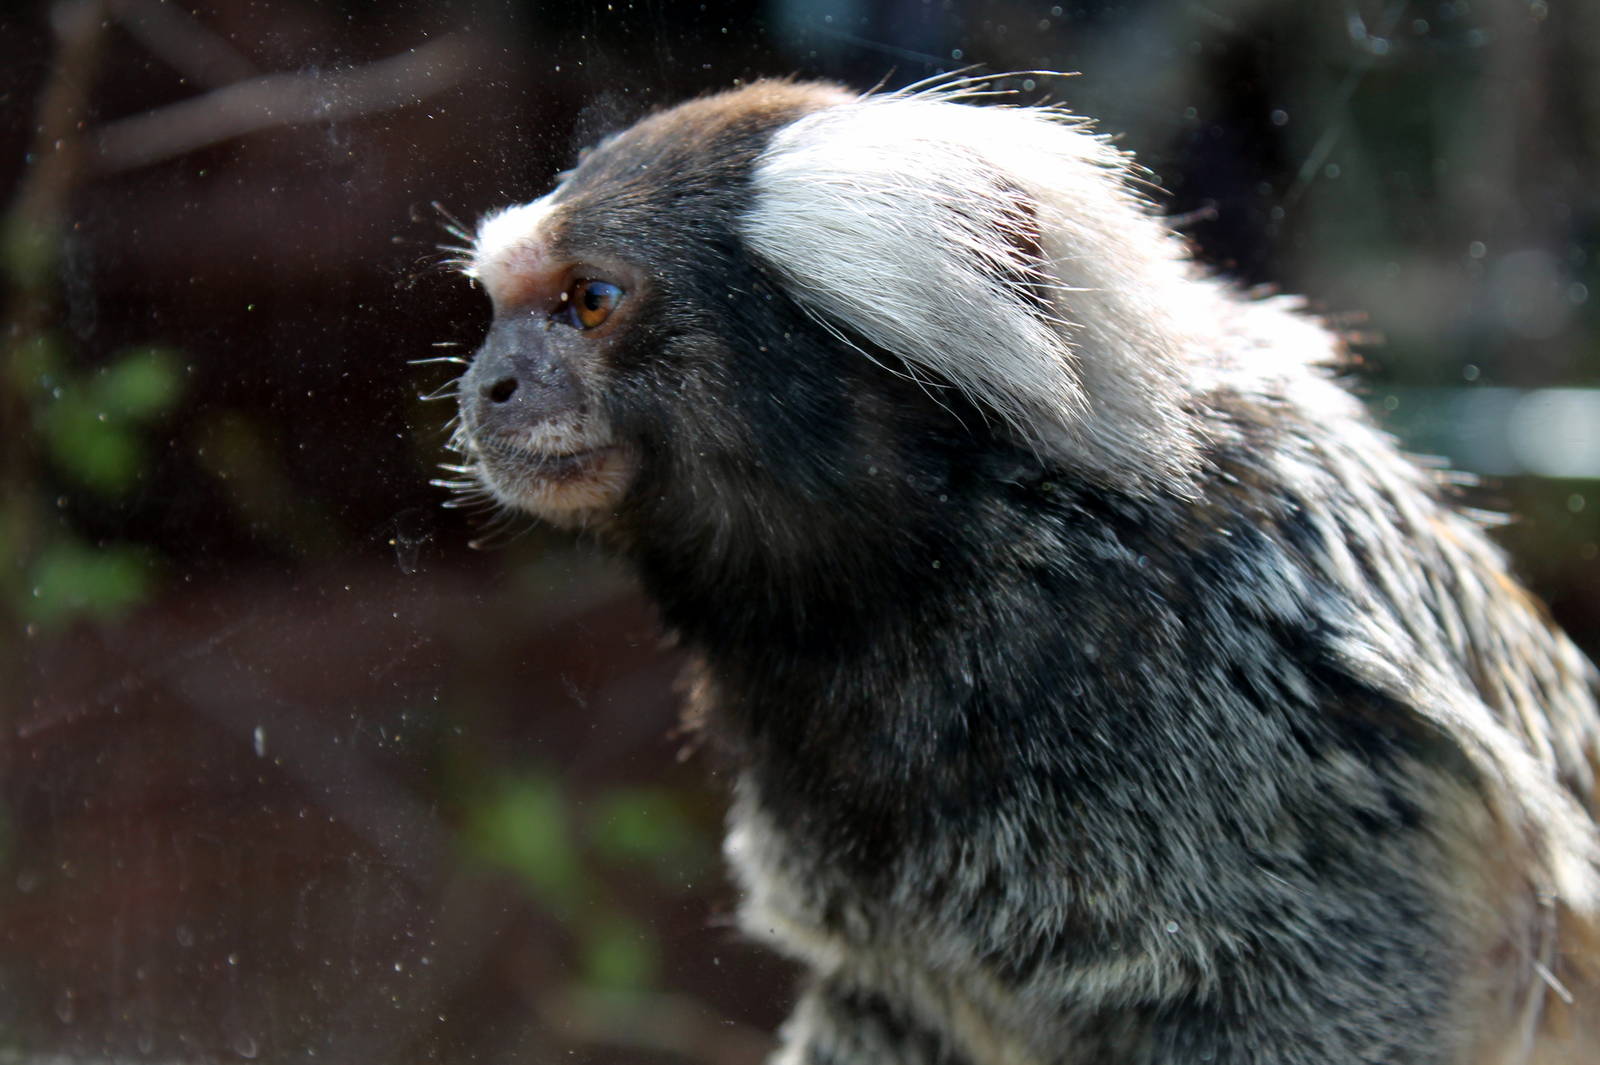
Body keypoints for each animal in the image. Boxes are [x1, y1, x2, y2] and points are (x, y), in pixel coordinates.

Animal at [443, 77, 1600, 1064]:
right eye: (497, 309)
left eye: (591, 299)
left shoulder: (1266, 712)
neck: (945, 562)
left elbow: (1353, 979)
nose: (485, 384)